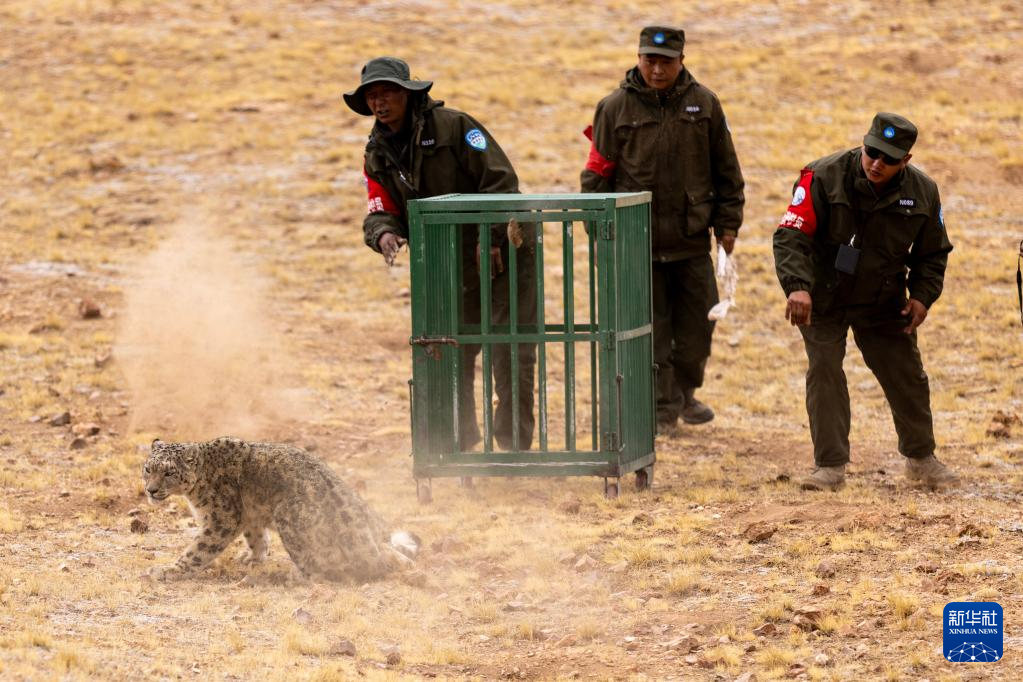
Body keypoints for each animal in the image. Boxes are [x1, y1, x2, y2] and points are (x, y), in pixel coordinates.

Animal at [141, 437, 419, 582]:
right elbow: (256, 537)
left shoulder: (221, 520)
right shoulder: (251, 515)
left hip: (290, 516)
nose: (151, 490)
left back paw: (296, 576)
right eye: (148, 468)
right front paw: (253, 557)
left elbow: (198, 549)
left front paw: (169, 570)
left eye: (169, 472)